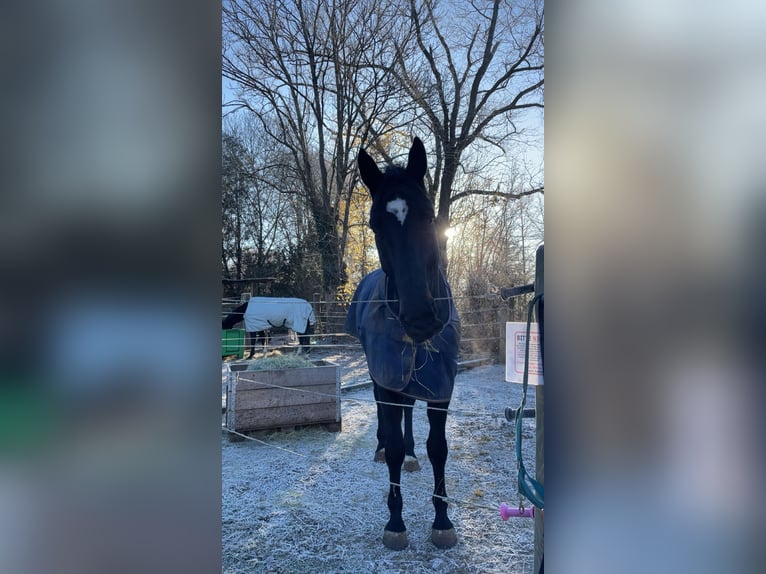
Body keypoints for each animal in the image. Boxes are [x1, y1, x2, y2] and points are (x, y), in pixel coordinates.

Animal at [344, 137, 461, 550]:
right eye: (375, 224)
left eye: (428, 217)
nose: (421, 318)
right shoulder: (388, 376)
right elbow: (393, 442)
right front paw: (395, 523)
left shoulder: (443, 385)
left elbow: (438, 449)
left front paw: (442, 520)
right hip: (383, 375)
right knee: (385, 418)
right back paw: (382, 448)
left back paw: (412, 456)